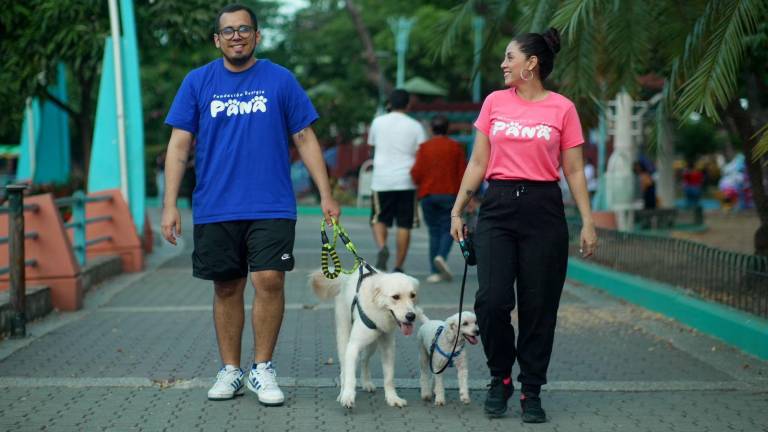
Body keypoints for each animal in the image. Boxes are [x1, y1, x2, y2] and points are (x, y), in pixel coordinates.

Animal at [308, 268, 420, 406]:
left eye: (413, 295)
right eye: (395, 297)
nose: (411, 316)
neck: (379, 311)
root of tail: (347, 277)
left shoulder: (388, 348)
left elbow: (389, 377)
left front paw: (392, 398)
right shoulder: (353, 346)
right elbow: (350, 377)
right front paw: (347, 396)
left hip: (372, 343)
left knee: (364, 359)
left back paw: (366, 383)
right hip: (344, 337)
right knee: (344, 369)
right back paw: (342, 392)